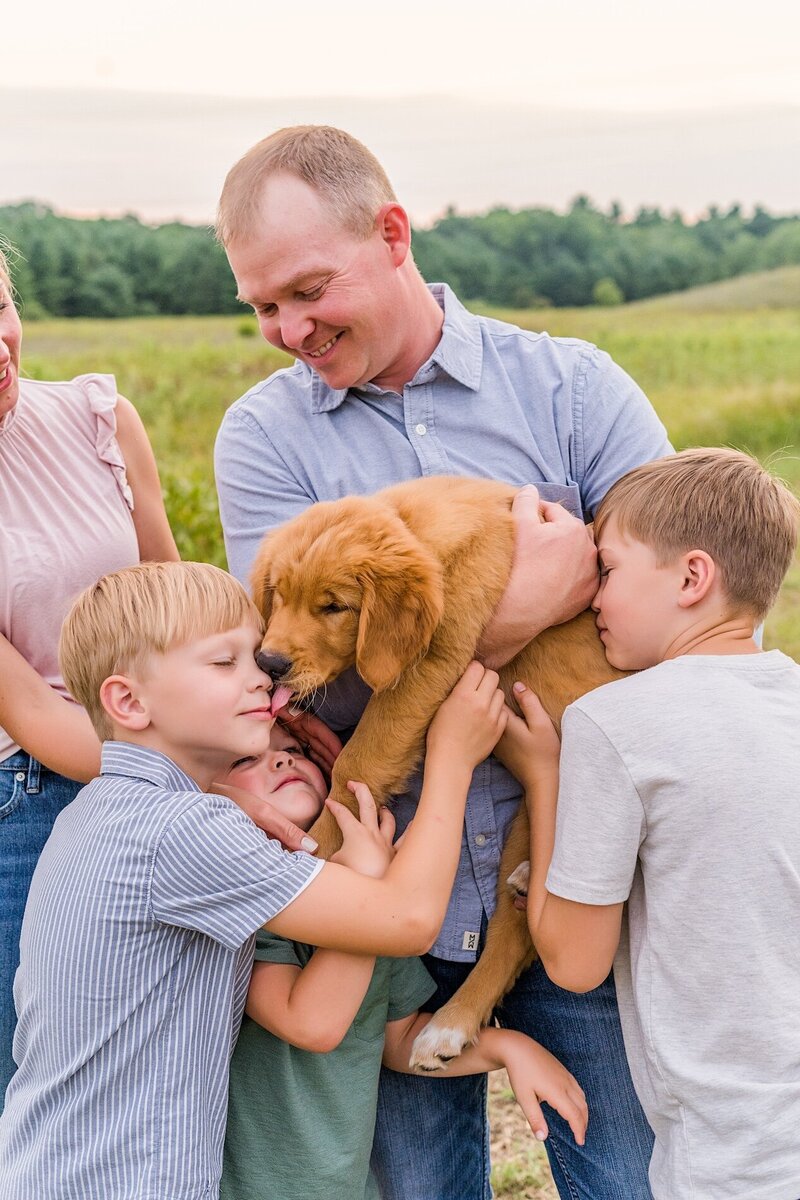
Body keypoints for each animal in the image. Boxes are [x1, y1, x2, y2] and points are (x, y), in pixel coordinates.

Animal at [250, 472, 618, 1065]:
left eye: (334, 607)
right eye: (279, 594)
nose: (269, 663)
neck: (422, 532)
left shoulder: (428, 662)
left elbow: (360, 756)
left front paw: (317, 853)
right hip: (526, 818)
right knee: (517, 930)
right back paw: (452, 1022)